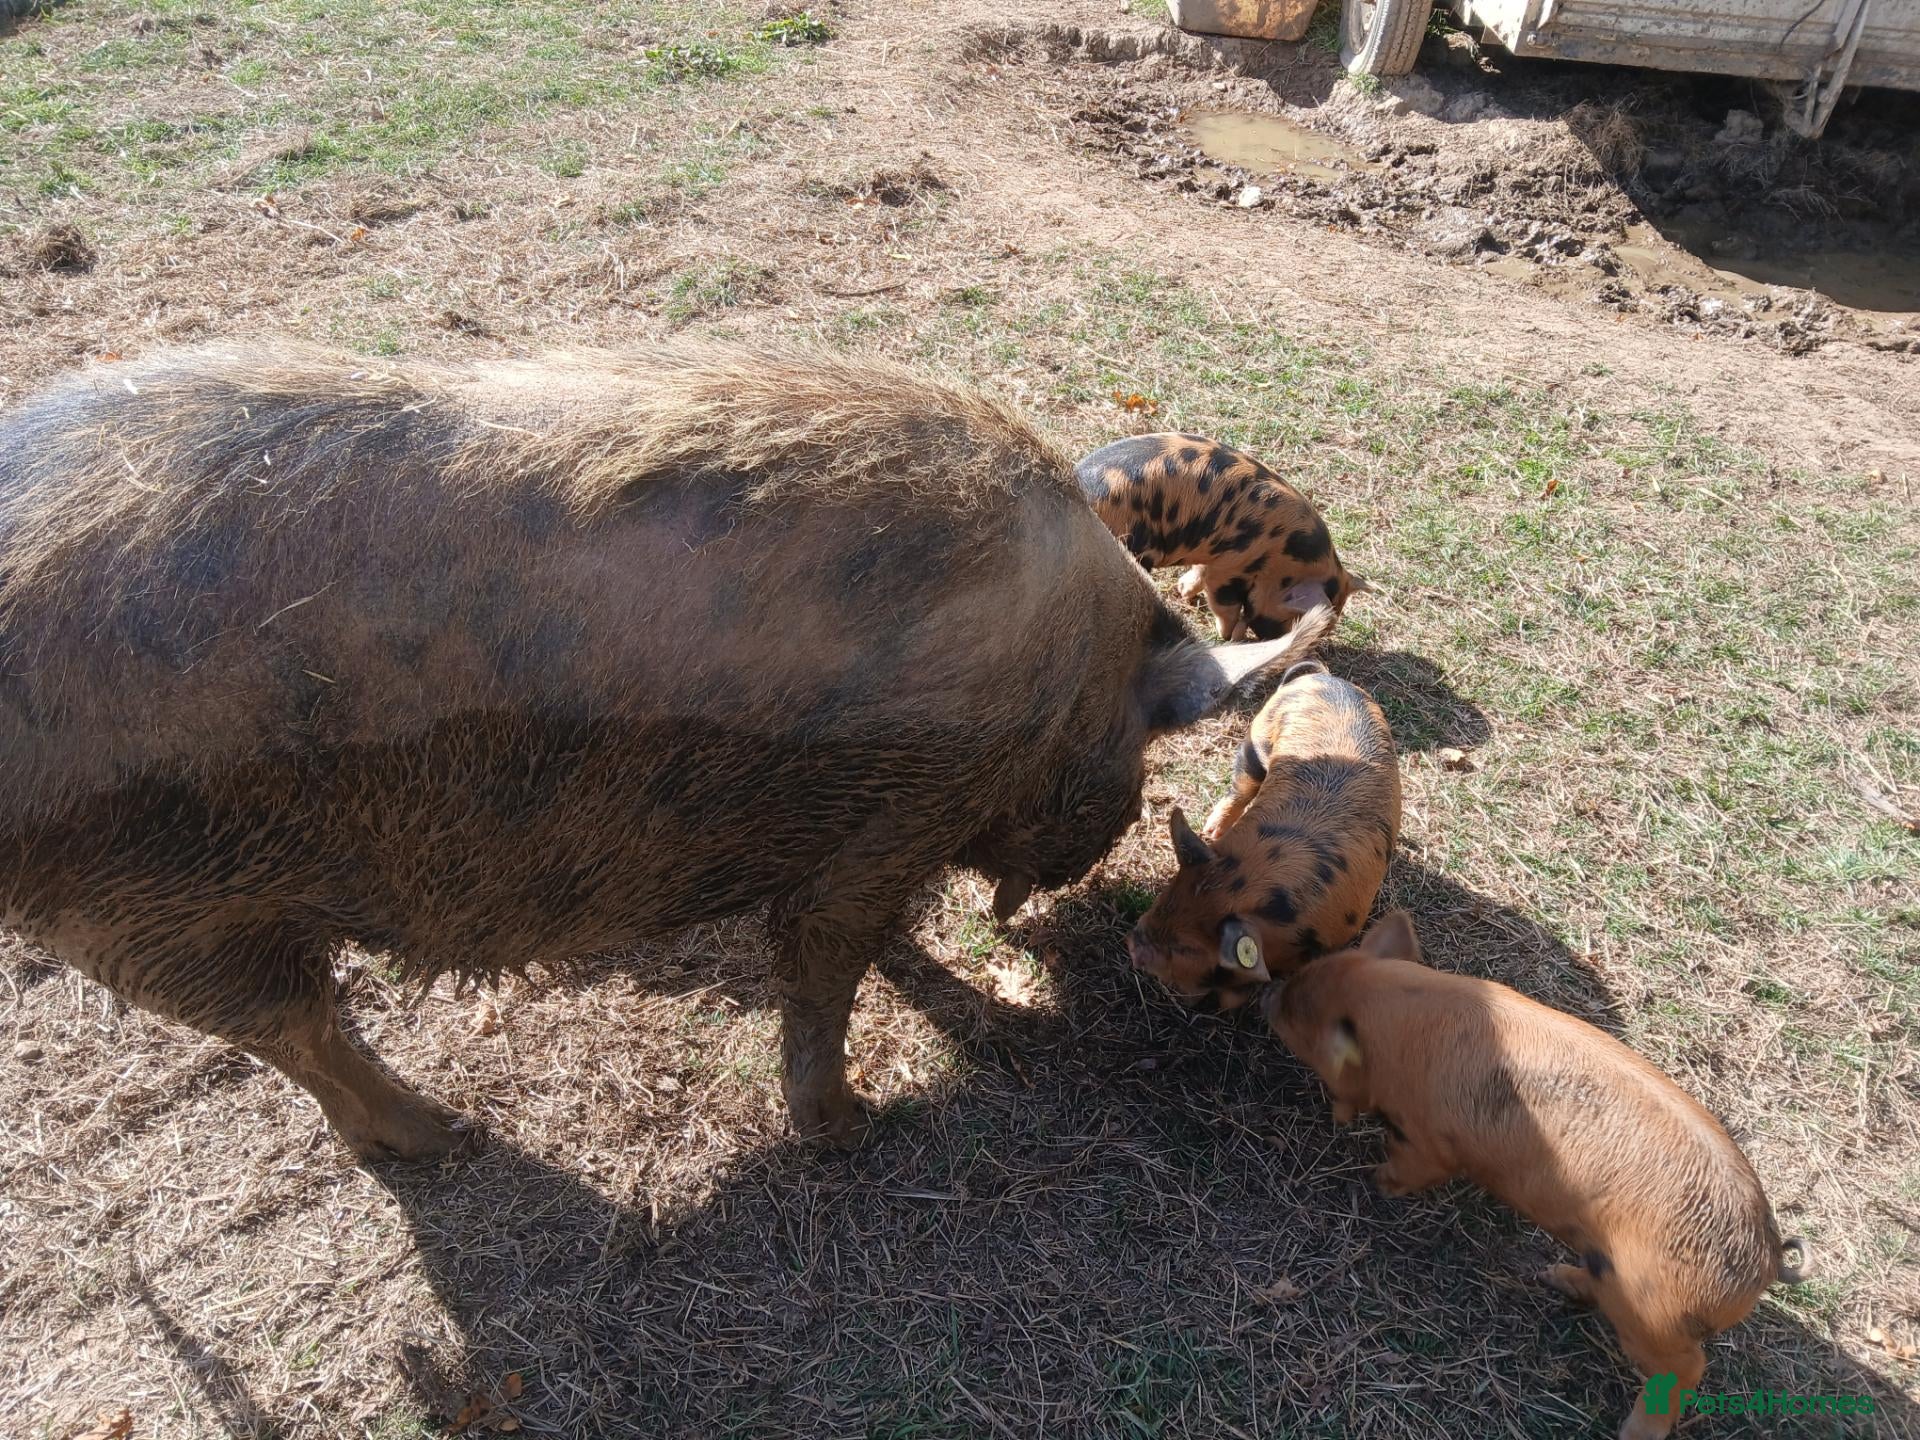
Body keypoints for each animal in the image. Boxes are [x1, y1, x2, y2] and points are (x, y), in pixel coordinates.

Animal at [1074, 433, 1363, 642]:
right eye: (1294, 617)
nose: (1274, 639)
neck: (1285, 557)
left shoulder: (1213, 552)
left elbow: (1200, 573)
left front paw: (1184, 593)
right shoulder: (1232, 565)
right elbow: (1222, 600)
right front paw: (1226, 636)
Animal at [1128, 660, 1400, 1008]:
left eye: (1186, 948)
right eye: (1164, 898)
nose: (1132, 944)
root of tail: (1322, 676)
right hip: (1255, 741)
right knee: (1242, 786)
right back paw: (1210, 831)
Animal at [1267, 912, 1810, 1440]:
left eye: (1297, 1021)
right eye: (1297, 984)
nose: (1271, 992)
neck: (1398, 1019)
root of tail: (1765, 1262)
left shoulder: (1431, 1139)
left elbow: (1410, 1165)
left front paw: (1376, 1180)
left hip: (1656, 1307)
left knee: (1688, 1367)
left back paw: (1634, 1430)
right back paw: (1551, 1277)